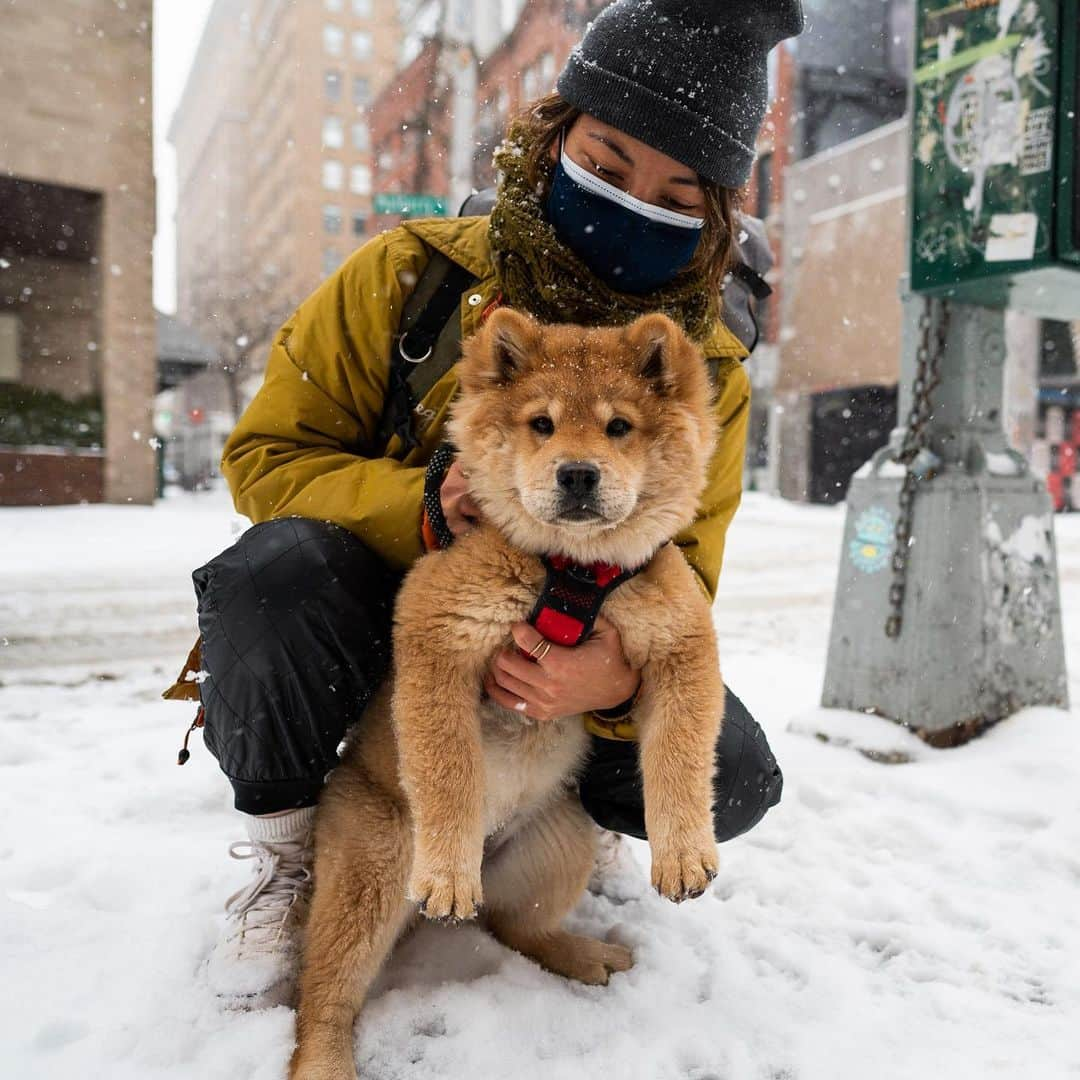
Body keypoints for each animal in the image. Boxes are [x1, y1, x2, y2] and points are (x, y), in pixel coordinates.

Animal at [289, 308, 725, 1075]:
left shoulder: (681, 646)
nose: (577, 474)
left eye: (618, 427)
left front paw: (683, 858)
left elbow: (680, 757)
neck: (572, 572)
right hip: (373, 863)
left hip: (557, 847)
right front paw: (448, 874)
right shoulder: (438, 630)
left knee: (515, 926)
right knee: (325, 992)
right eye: (542, 424)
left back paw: (581, 955)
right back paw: (324, 1059)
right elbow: (448, 768)